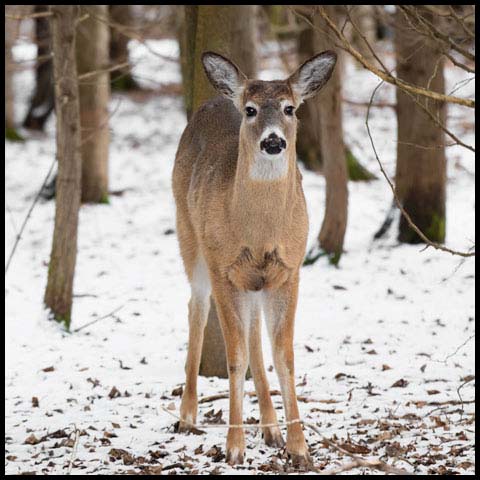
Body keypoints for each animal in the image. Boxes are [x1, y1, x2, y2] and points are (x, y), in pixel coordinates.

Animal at [172, 49, 338, 464]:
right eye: (250, 110)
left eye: (290, 108)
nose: (274, 141)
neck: (259, 233)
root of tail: (214, 100)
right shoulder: (224, 267)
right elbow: (235, 358)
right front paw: (234, 448)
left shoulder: (289, 269)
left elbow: (283, 356)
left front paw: (299, 447)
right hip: (190, 235)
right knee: (196, 308)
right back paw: (187, 415)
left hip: (255, 282)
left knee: (254, 334)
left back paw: (271, 429)